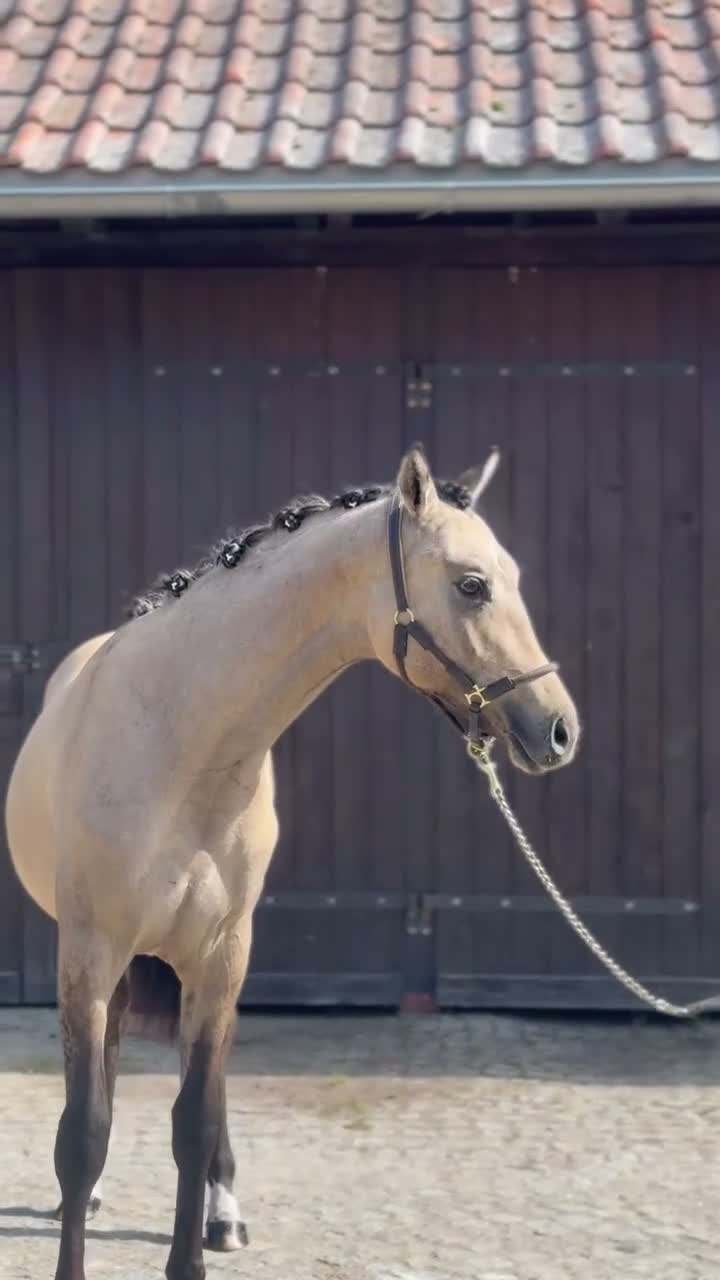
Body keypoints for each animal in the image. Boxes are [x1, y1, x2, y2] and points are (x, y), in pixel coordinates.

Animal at [5, 446, 579, 1280]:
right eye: (472, 584)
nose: (560, 730)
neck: (177, 741)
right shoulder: (88, 952)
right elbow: (83, 1133)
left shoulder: (221, 956)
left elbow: (194, 1120)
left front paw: (194, 1255)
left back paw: (224, 1214)